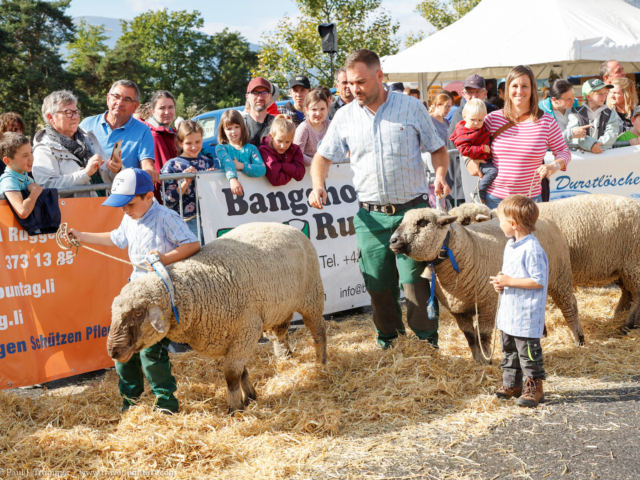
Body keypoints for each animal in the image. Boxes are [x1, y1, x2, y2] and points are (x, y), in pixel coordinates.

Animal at [107, 221, 328, 412]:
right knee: (280, 333)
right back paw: (285, 356)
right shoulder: (229, 337)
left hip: (312, 296)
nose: (113, 352)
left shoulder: (245, 331)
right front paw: (249, 397)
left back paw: (321, 363)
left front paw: (235, 408)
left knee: (318, 330)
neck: (194, 290)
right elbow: (242, 371)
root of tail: (287, 226)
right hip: (281, 306)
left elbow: (231, 375)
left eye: (138, 313)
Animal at [388, 209, 584, 364]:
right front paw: (477, 359)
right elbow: (470, 336)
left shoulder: (488, 304)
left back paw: (579, 340)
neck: (468, 248)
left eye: (423, 222)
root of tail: (546, 217)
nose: (392, 241)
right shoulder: (458, 310)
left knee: (569, 306)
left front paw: (487, 360)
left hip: (560, 276)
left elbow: (483, 335)